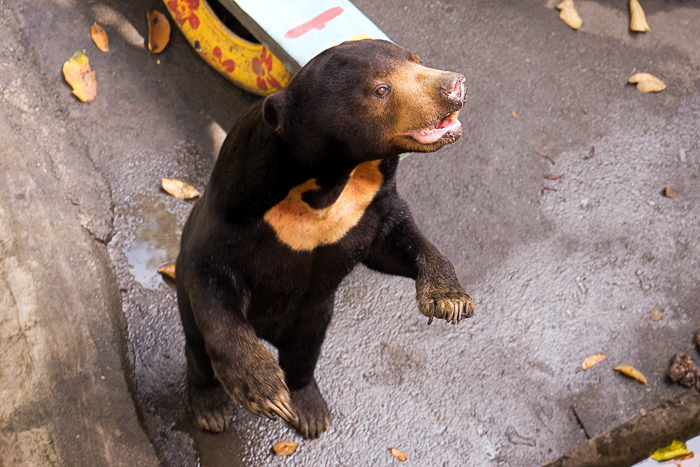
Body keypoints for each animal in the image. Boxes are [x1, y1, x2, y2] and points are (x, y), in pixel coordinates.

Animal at [176, 39, 476, 438]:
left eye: (417, 60)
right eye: (381, 90)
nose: (454, 85)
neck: (329, 179)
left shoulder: (368, 206)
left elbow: (396, 241)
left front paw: (450, 300)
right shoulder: (235, 204)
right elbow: (211, 273)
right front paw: (262, 388)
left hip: (313, 318)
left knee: (303, 356)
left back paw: (310, 408)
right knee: (198, 350)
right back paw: (211, 407)